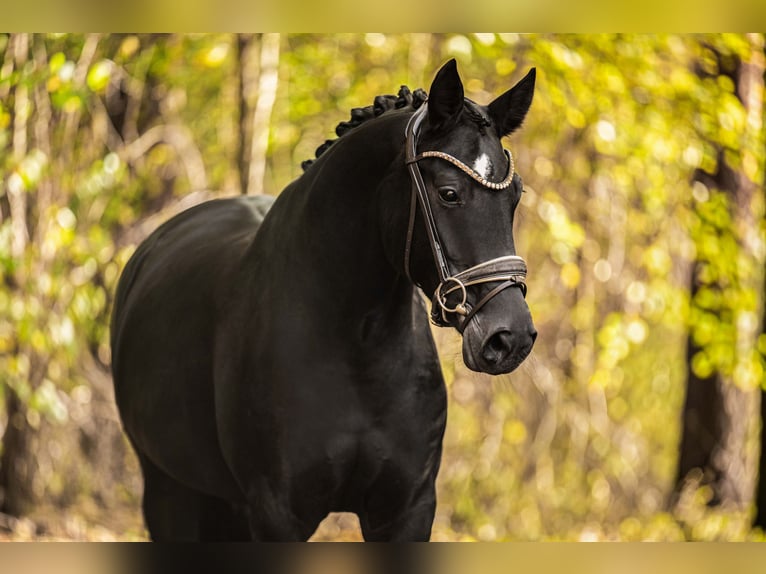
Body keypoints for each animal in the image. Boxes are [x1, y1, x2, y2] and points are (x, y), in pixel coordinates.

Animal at [110, 59, 537, 541]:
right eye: (449, 193)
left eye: (515, 196)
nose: (511, 336)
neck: (354, 348)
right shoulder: (277, 514)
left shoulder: (406, 510)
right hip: (170, 493)